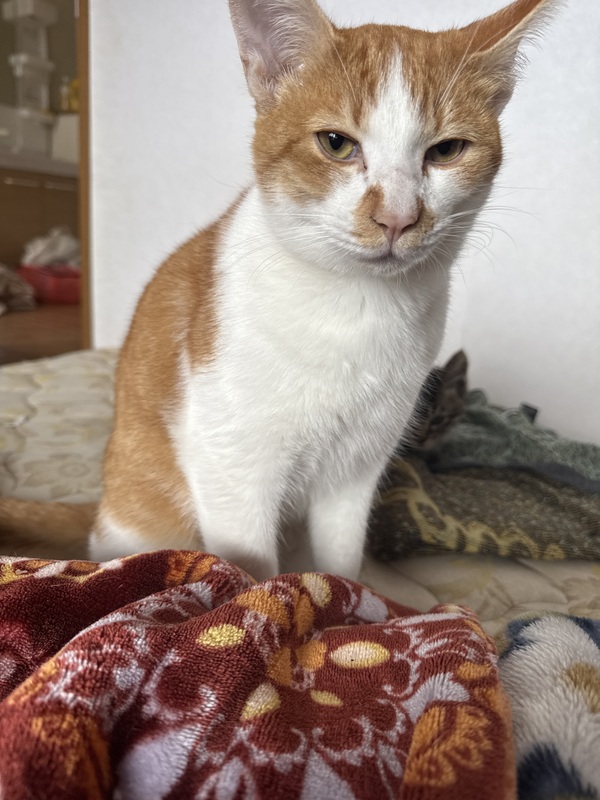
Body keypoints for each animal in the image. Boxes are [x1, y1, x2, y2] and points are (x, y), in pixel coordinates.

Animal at [0, 0, 557, 580]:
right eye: (336, 143)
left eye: (446, 150)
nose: (398, 218)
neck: (355, 311)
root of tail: (101, 508)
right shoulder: (231, 469)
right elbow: (251, 571)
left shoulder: (355, 473)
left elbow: (340, 564)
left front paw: (346, 596)